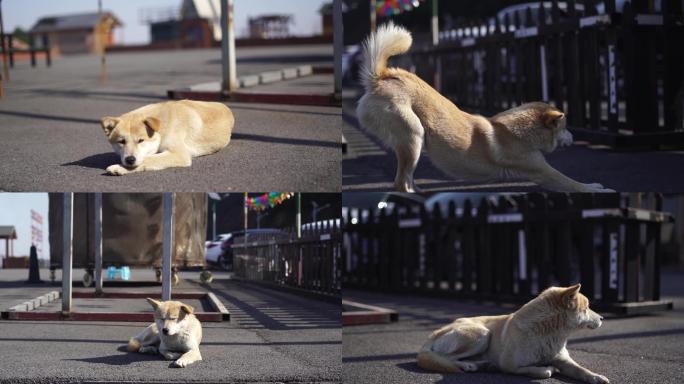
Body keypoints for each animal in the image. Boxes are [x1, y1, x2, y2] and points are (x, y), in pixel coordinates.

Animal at [101, 100, 235, 176]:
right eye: (121, 141)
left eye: (141, 140)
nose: (130, 160)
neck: (162, 128)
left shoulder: (179, 154)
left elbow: (148, 159)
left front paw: (119, 168)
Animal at [356, 22, 612, 194]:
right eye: (565, 127)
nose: (573, 136)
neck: (518, 133)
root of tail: (382, 77)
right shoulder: (542, 171)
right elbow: (573, 183)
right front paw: (597, 187)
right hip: (413, 134)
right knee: (400, 183)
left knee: (406, 178)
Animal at [416, 284, 608, 382]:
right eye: (587, 308)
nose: (602, 317)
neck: (548, 332)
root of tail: (435, 332)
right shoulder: (509, 366)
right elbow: (541, 371)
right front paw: (547, 368)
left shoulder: (564, 360)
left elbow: (581, 370)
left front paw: (596, 377)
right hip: (481, 334)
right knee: (445, 358)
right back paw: (470, 365)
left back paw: (481, 364)